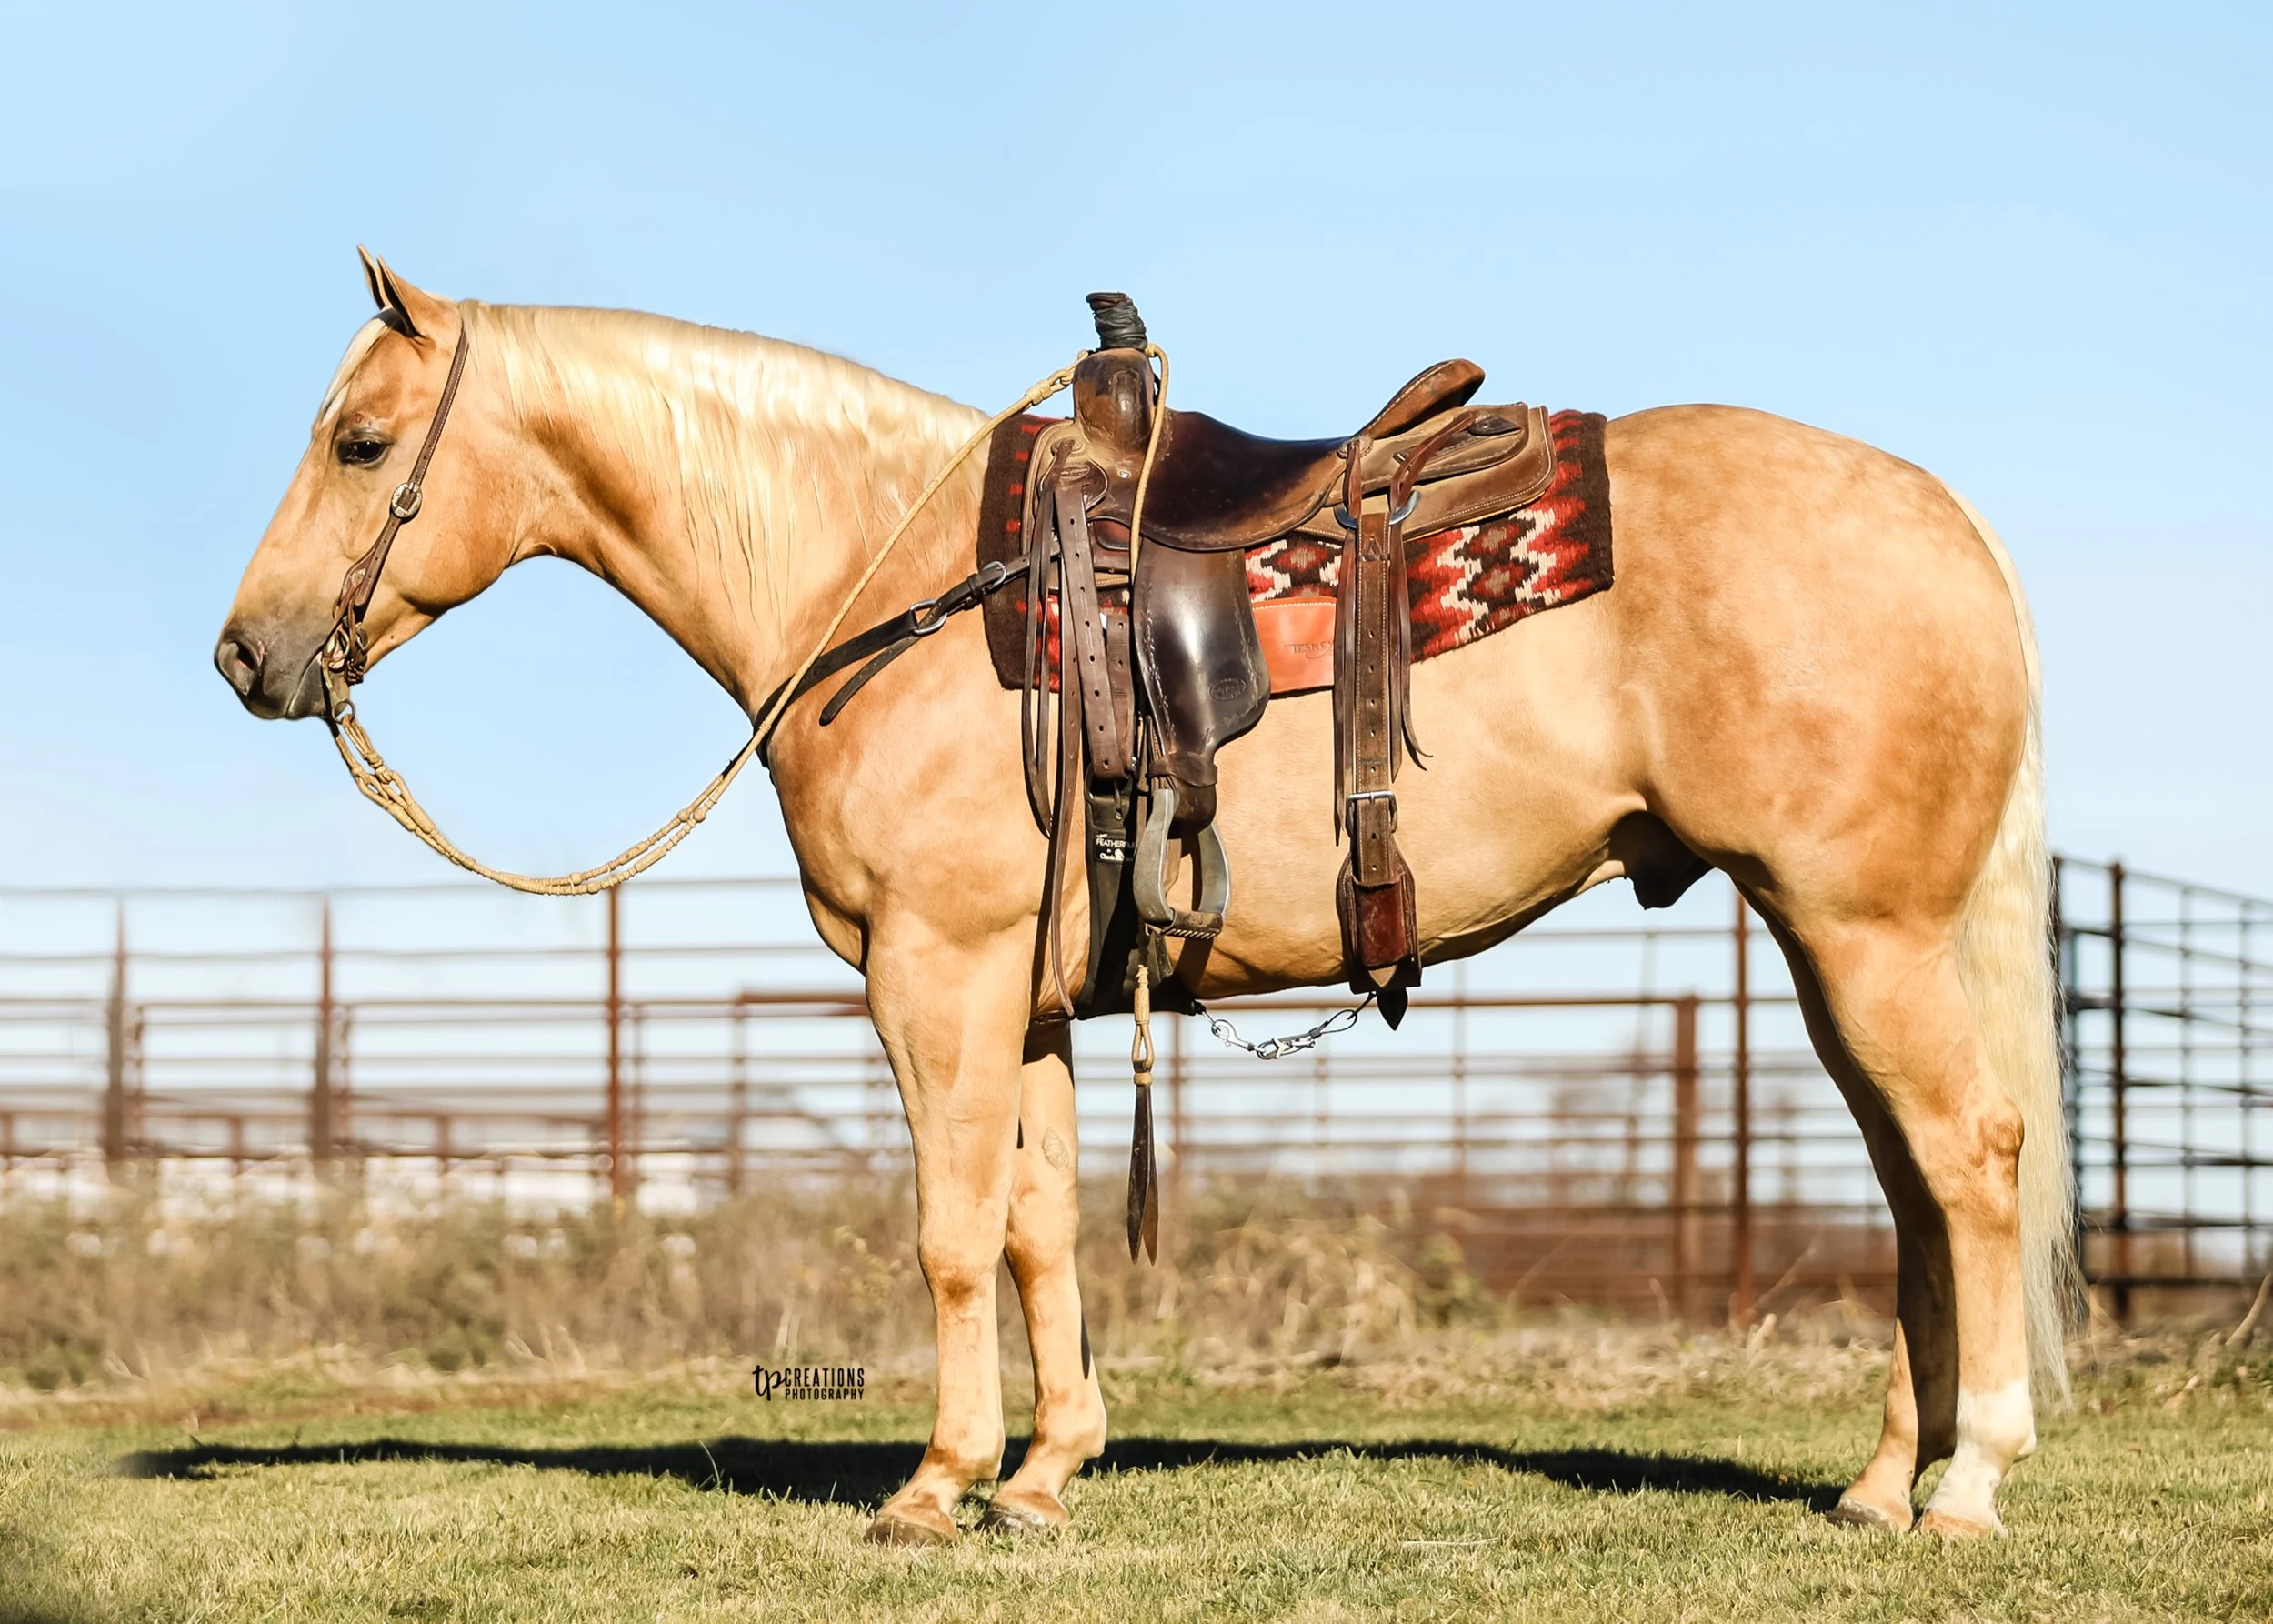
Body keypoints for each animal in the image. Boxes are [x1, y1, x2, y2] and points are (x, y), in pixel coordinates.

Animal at [216, 253, 2074, 1544]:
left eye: (361, 442)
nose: (247, 656)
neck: (886, 583)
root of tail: (1945, 519)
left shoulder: (935, 976)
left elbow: (950, 1228)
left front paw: (935, 1483)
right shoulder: (1026, 997)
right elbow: (1038, 1222)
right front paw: (1044, 1473)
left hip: (1865, 936)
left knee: (1970, 1161)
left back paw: (1969, 1482)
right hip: (1836, 948)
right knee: (1917, 1187)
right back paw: (1879, 1481)